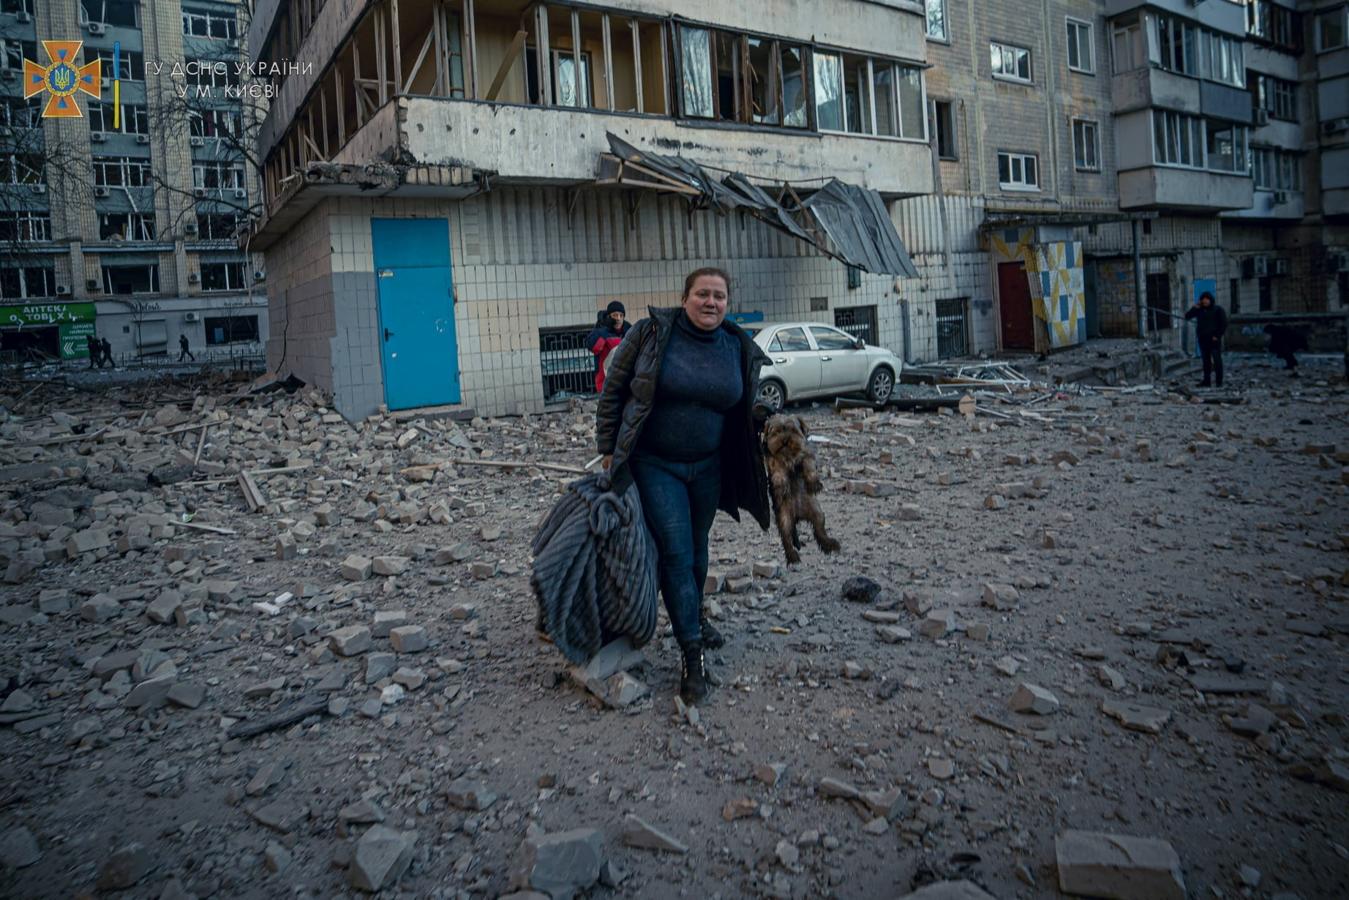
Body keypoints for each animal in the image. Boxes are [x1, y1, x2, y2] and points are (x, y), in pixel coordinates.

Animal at [766, 412, 836, 564]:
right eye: (777, 431)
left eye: (793, 430)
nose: (785, 440)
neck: (788, 456)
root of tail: (797, 514)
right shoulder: (774, 462)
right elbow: (778, 471)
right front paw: (781, 486)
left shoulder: (806, 455)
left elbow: (809, 466)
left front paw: (814, 483)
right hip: (784, 518)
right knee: (786, 538)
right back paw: (792, 556)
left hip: (816, 511)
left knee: (819, 530)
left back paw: (830, 544)